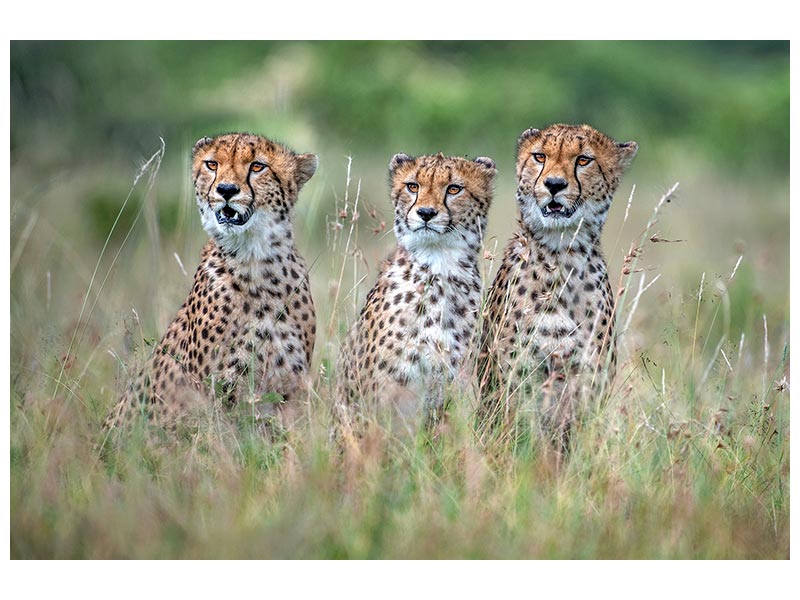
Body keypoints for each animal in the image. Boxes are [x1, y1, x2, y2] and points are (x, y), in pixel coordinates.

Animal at [103, 132, 318, 433]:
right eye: (212, 164)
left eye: (257, 166)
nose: (226, 190)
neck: (255, 259)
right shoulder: (215, 390)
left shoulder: (290, 388)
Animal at [478, 123, 637, 451]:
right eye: (540, 156)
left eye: (584, 160)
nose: (553, 184)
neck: (561, 253)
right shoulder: (517, 383)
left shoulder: (588, 384)